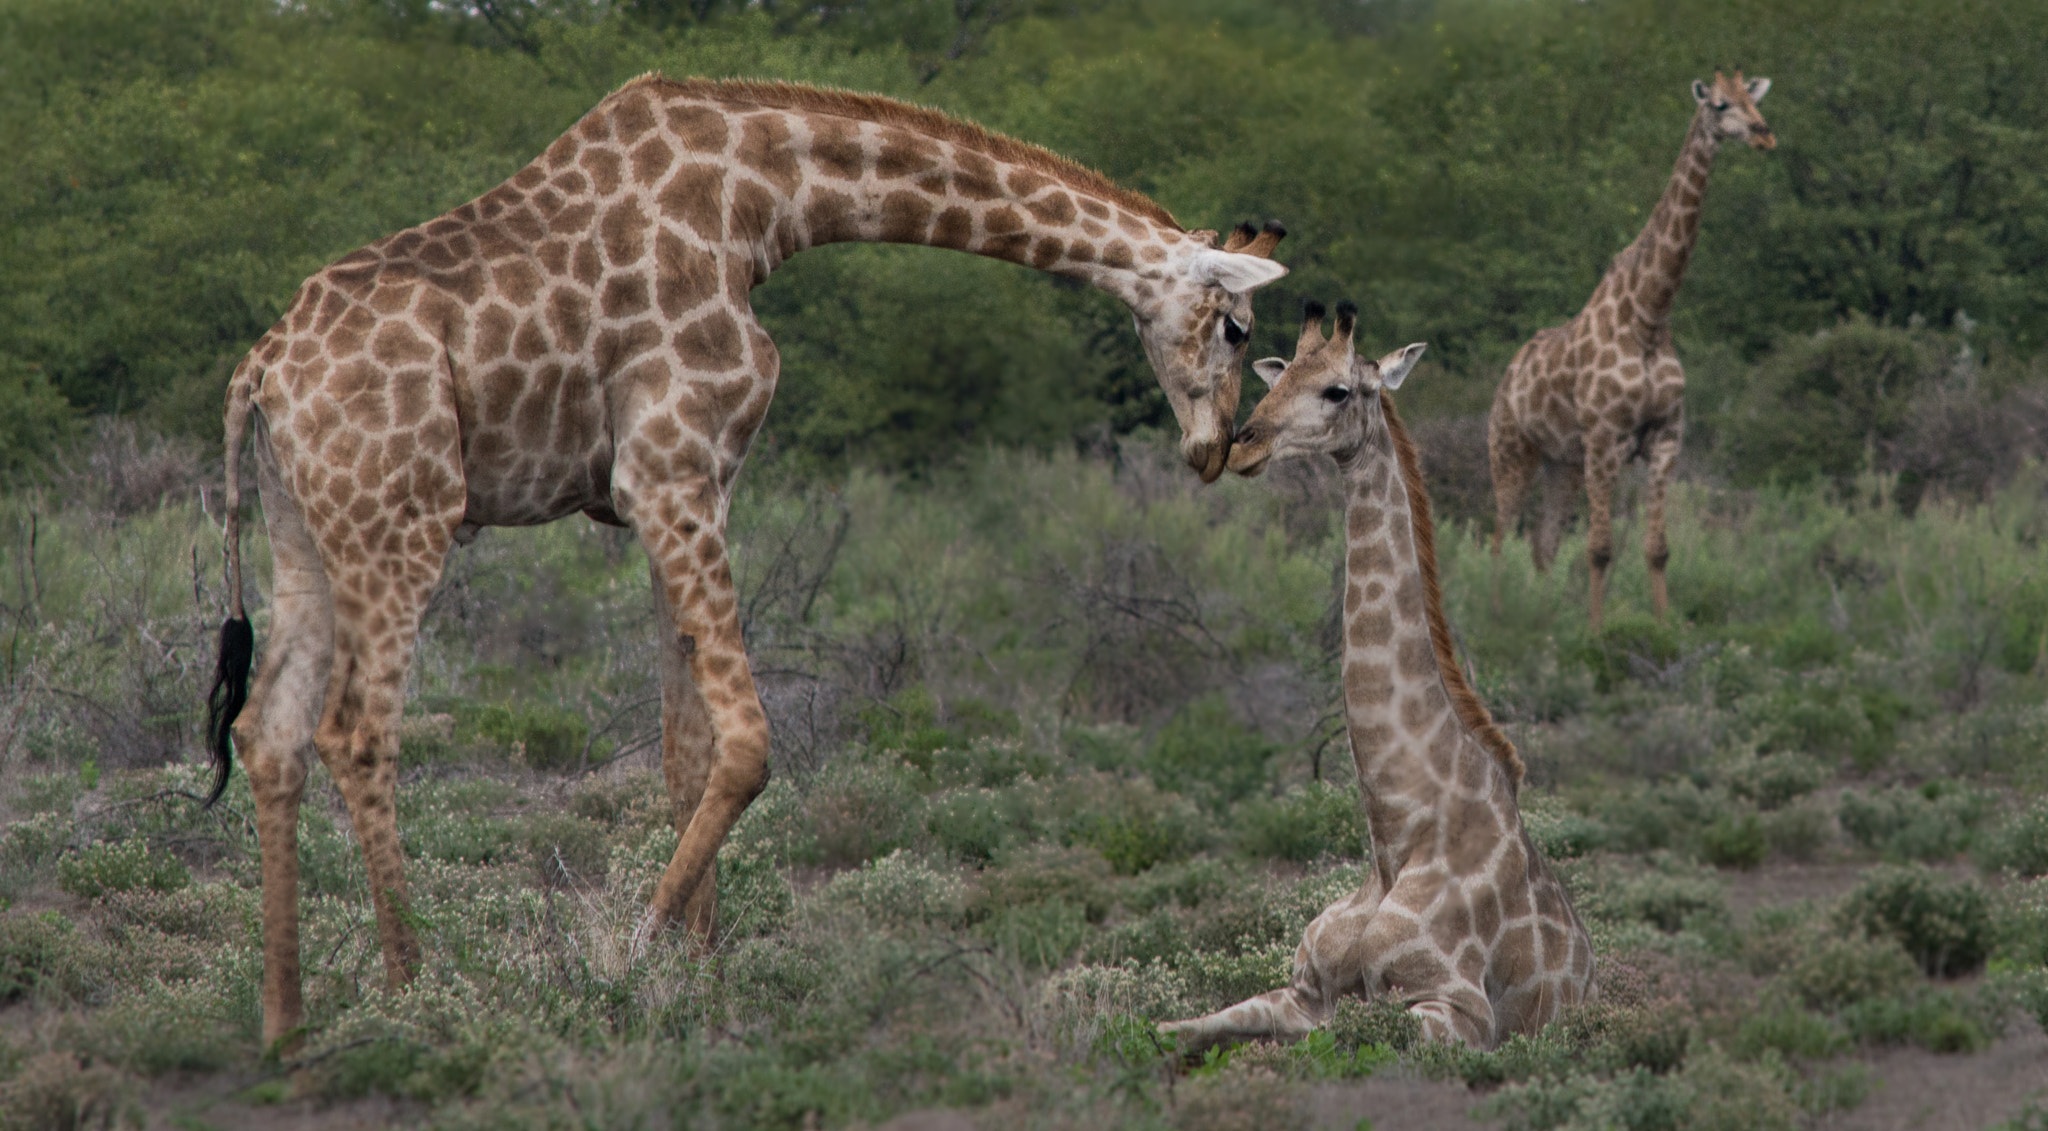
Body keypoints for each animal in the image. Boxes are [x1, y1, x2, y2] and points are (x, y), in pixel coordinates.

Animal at [199, 75, 1286, 1049]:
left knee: (268, 731)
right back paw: (415, 996)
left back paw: (285, 1025)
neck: (762, 201)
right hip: (403, 520)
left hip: (307, 533)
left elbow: (686, 755)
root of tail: (260, 373)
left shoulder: (683, 487)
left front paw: (702, 987)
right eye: (1236, 328)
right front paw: (634, 952)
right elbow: (750, 745)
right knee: (357, 731)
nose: (1215, 452)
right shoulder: (670, 473)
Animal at [1163, 305, 1589, 1057]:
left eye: (1337, 391)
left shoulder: (1458, 1010)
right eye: (1278, 376)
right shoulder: (1301, 990)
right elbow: (1172, 1029)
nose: (1241, 446)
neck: (1395, 833)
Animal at [1490, 73, 1777, 631]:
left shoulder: (1665, 439)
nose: (1763, 135)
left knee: (1542, 545)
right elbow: (1600, 549)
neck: (1649, 315)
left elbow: (1657, 549)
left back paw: (1541, 616)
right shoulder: (1605, 440)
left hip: (1561, 462)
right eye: (1719, 105)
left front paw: (1662, 631)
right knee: (1497, 542)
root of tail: (1505, 380)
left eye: (1754, 101)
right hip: (1511, 452)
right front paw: (1596, 634)